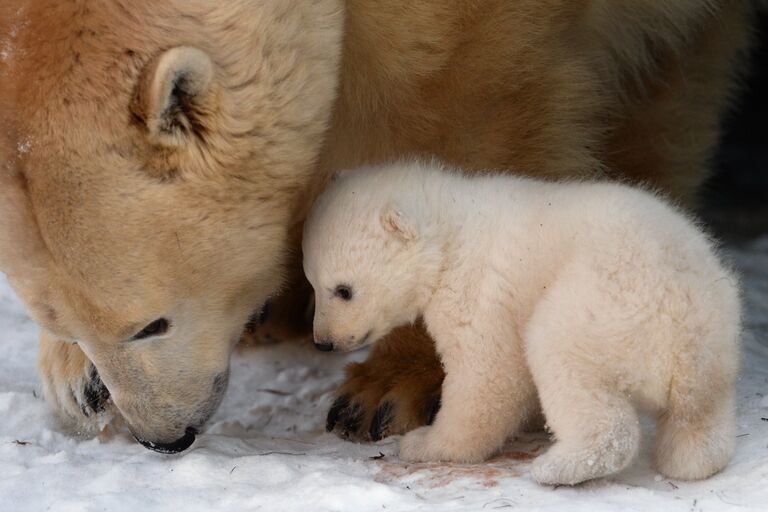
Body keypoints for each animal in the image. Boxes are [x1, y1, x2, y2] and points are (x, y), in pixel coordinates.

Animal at [0, 0, 756, 448]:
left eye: (151, 323)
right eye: (67, 322)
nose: (166, 437)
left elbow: (462, 110)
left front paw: (393, 387)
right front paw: (78, 382)